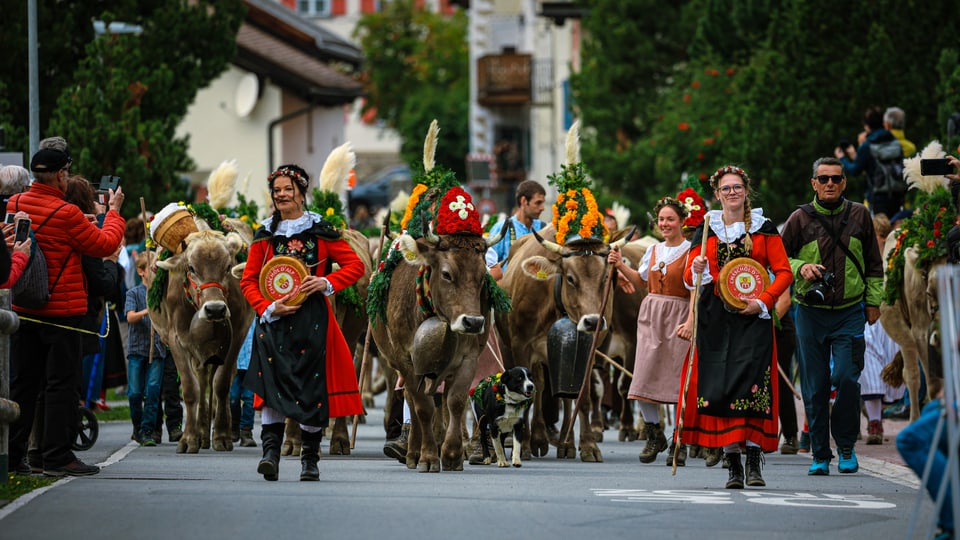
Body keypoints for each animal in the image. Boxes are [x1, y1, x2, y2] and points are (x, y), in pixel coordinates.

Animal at [368, 121, 512, 472]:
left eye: (483, 276)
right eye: (446, 273)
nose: (473, 322)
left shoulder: (469, 357)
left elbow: (456, 400)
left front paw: (452, 454)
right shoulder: (407, 359)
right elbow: (421, 405)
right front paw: (429, 456)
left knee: (441, 401)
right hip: (397, 362)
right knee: (416, 400)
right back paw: (412, 452)